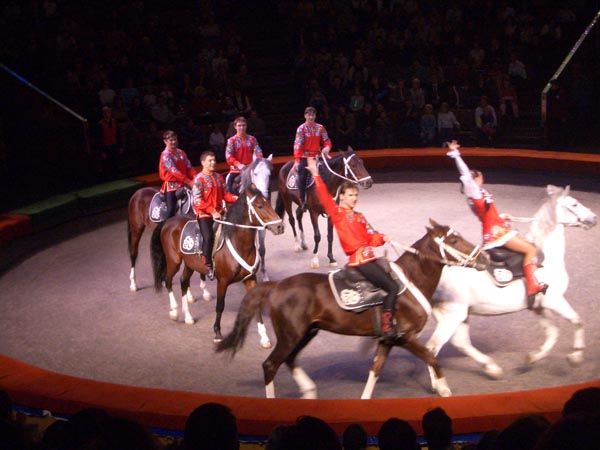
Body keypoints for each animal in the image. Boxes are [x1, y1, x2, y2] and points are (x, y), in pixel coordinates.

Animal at [149, 183, 282, 344]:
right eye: (260, 206)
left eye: (268, 202)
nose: (280, 227)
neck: (239, 244)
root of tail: (168, 221)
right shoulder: (222, 281)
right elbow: (220, 306)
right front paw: (217, 333)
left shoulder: (250, 279)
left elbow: (255, 305)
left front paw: (264, 338)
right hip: (173, 261)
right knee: (168, 281)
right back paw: (174, 311)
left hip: (189, 264)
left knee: (183, 282)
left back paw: (188, 317)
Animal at [216, 220, 488, 400]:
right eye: (453, 240)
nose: (483, 258)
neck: (410, 282)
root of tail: (278, 285)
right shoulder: (405, 337)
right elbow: (432, 357)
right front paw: (443, 388)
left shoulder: (387, 341)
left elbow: (375, 370)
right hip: (290, 336)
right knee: (270, 365)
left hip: (306, 333)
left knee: (290, 360)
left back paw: (309, 391)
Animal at [426, 185, 596, 388]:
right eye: (575, 204)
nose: (593, 218)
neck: (547, 259)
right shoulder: (555, 301)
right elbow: (578, 321)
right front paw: (575, 357)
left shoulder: (539, 307)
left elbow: (553, 333)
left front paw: (532, 358)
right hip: (453, 314)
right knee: (433, 347)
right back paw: (440, 386)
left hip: (457, 314)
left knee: (460, 342)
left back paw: (492, 369)